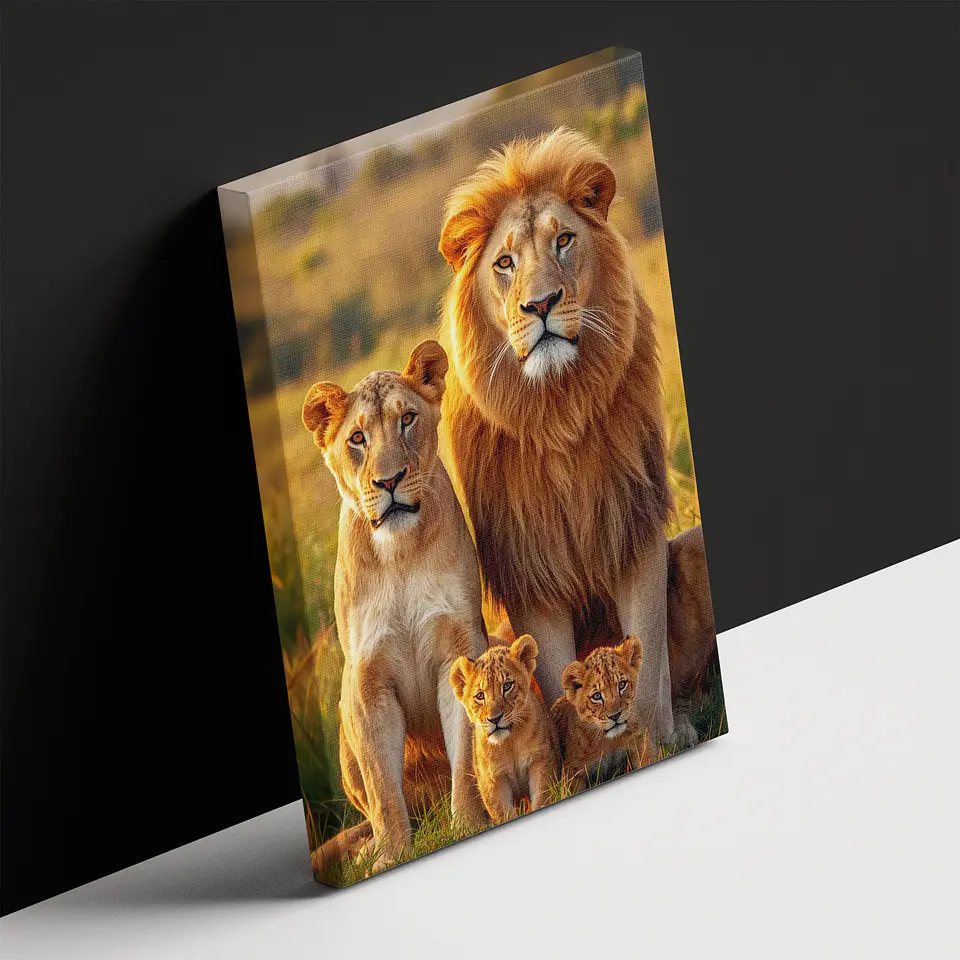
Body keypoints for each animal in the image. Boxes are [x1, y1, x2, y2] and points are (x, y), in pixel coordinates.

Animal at [302, 340, 488, 875]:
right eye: (357, 438)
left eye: (407, 419)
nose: (389, 481)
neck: (400, 554)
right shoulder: (366, 679)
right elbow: (384, 787)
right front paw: (390, 855)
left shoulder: (460, 649)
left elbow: (466, 756)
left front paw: (470, 824)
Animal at [439, 126, 675, 751]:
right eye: (505, 262)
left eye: (564, 240)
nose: (540, 304)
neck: (558, 409)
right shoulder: (530, 571)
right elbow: (546, 671)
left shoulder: (636, 532)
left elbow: (644, 663)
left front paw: (653, 745)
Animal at [449, 635, 560, 823]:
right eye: (480, 696)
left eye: (507, 686)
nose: (494, 719)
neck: (509, 743)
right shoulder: (493, 782)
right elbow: (503, 815)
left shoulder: (540, 762)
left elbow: (542, 800)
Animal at [550, 637, 647, 794]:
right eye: (597, 696)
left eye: (622, 685)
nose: (615, 716)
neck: (609, 741)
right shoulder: (572, 772)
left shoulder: (640, 743)